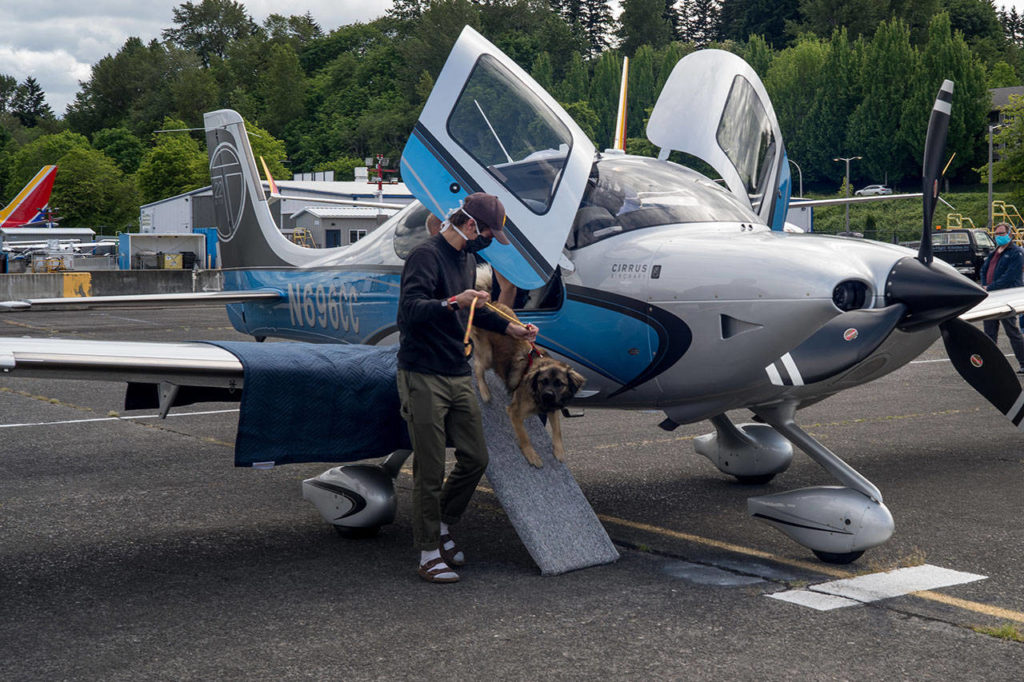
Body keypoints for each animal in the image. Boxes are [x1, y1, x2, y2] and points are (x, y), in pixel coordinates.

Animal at [471, 303, 585, 466]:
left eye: (559, 383)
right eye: (543, 381)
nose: (548, 395)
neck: (536, 393)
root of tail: (492, 303)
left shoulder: (552, 407)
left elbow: (557, 430)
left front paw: (559, 451)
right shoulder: (515, 412)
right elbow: (524, 436)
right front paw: (531, 455)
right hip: (488, 354)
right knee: (478, 366)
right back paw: (485, 392)